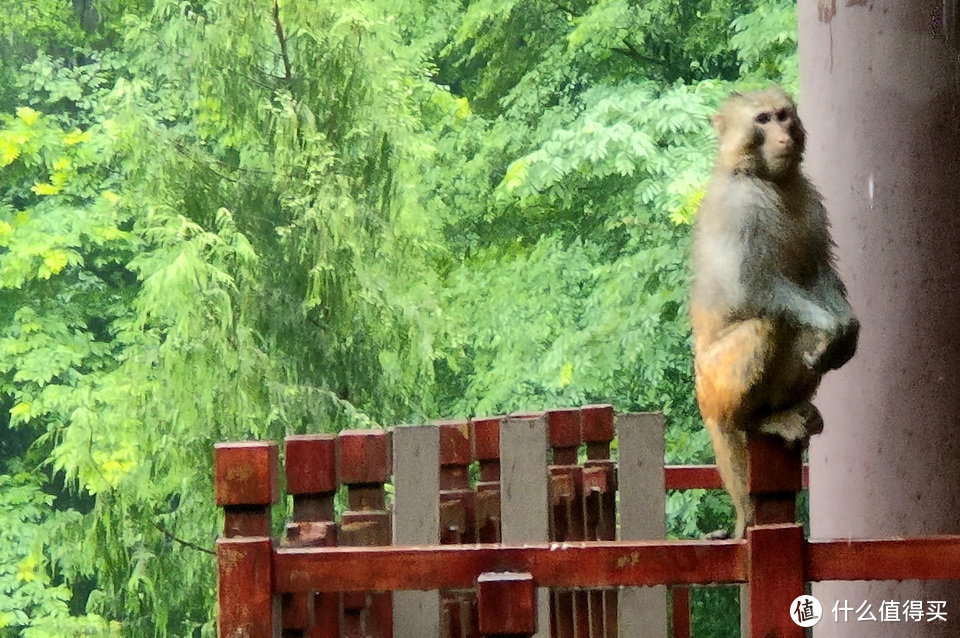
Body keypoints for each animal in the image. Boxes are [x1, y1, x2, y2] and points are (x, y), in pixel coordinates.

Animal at [688, 89, 864, 540]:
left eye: (784, 116)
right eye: (762, 120)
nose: (783, 135)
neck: (769, 179)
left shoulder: (810, 197)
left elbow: (818, 272)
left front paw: (847, 330)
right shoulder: (743, 208)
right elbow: (751, 287)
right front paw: (832, 326)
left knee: (802, 338)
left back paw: (781, 411)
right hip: (714, 383)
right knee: (768, 324)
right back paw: (751, 422)